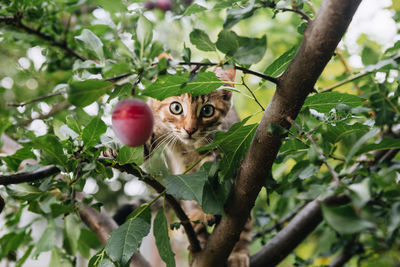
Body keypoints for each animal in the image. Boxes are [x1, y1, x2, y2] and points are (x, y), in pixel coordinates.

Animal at [145, 68, 250, 267]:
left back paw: (238, 253)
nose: (190, 129)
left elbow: (210, 180)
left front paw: (205, 210)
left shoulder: (217, 149)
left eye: (207, 110)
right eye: (176, 108)